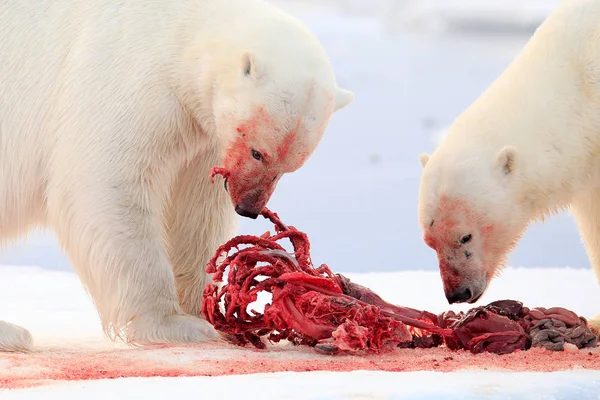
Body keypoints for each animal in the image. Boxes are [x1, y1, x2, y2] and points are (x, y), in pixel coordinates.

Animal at [0, 0, 352, 352]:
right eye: (257, 152)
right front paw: (175, 324)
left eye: (289, 167)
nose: (248, 208)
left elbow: (194, 212)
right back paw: (13, 332)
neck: (185, 31)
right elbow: (109, 183)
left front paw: (210, 312)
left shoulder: (204, 137)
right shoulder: (127, 77)